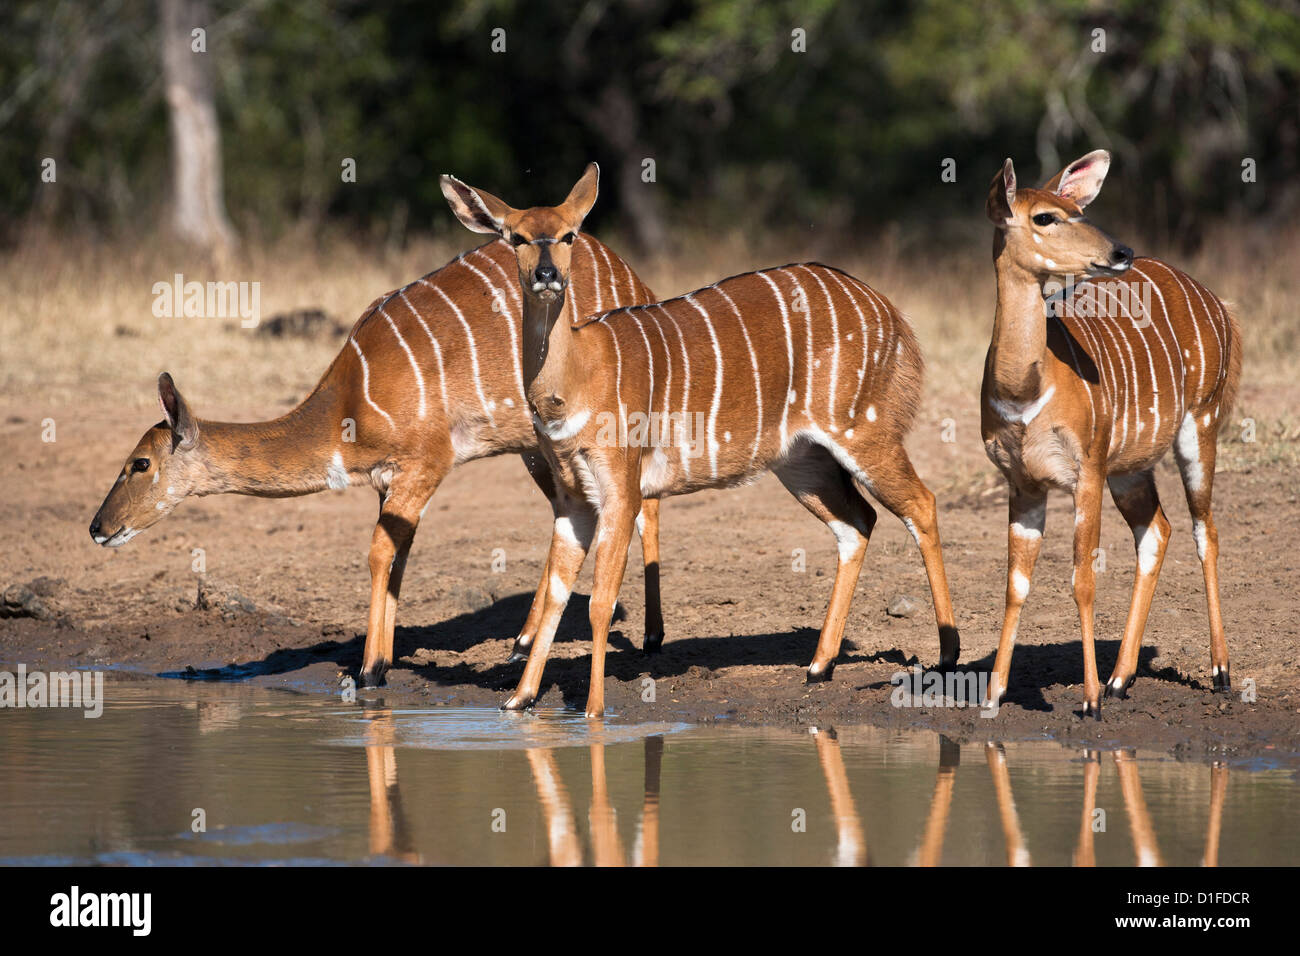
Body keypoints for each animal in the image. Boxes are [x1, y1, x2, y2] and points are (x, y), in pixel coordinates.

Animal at [86, 239, 665, 686]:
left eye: (139, 463)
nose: (97, 527)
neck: (348, 402)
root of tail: (636, 281)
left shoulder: (427, 464)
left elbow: (379, 553)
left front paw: (368, 671)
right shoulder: (389, 483)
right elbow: (397, 554)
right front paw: (381, 661)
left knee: (643, 505)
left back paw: (652, 636)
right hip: (538, 449)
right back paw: (524, 641)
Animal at [441, 164, 961, 717]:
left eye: (569, 235)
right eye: (515, 237)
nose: (545, 275)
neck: (578, 371)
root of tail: (892, 315)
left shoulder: (621, 491)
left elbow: (600, 602)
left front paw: (594, 710)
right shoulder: (572, 499)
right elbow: (559, 596)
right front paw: (518, 700)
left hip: (864, 431)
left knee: (921, 504)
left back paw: (948, 654)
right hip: (803, 460)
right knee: (858, 523)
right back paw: (819, 666)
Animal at [977, 147, 1242, 717]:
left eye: (1077, 210)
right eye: (1044, 217)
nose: (1121, 251)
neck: (1025, 389)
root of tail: (1217, 303)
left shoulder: (1086, 473)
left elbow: (1082, 580)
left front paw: (1090, 701)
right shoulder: (1023, 484)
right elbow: (1015, 584)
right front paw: (992, 696)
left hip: (1198, 425)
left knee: (1204, 530)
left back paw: (1220, 674)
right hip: (1130, 468)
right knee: (1157, 530)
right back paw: (1122, 678)